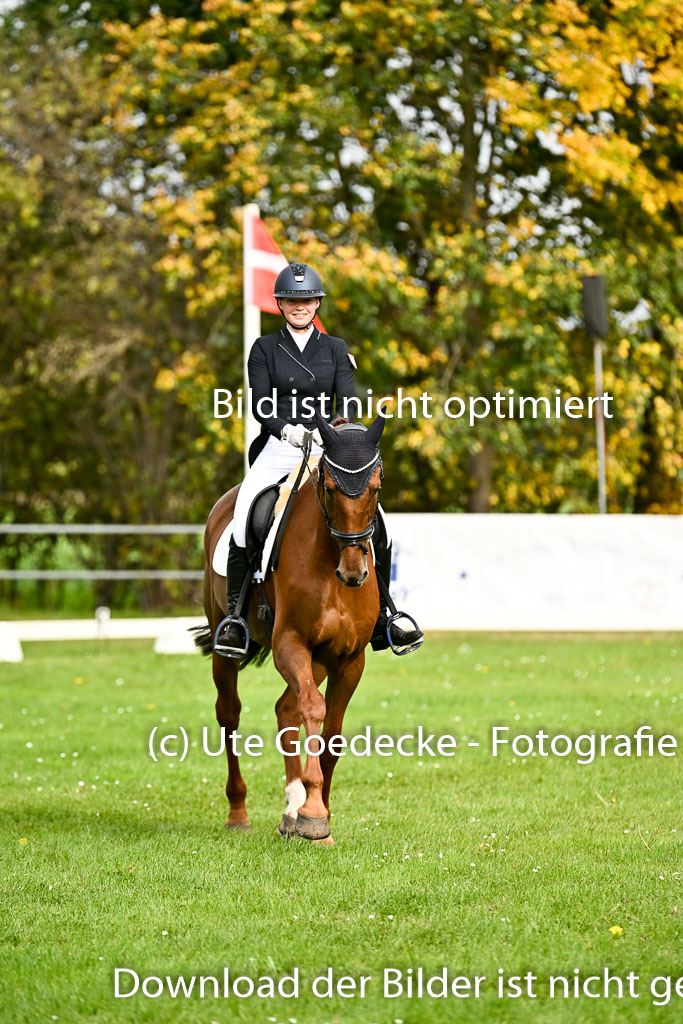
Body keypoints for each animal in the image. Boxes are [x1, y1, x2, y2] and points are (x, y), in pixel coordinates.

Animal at [192, 413, 386, 844]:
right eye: (329, 488)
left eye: (376, 488)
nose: (354, 573)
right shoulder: (289, 644)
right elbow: (313, 708)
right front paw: (313, 813)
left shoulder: (349, 659)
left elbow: (331, 733)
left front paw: (319, 816)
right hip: (226, 645)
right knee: (230, 713)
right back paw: (239, 812)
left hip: (319, 660)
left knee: (286, 708)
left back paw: (291, 811)